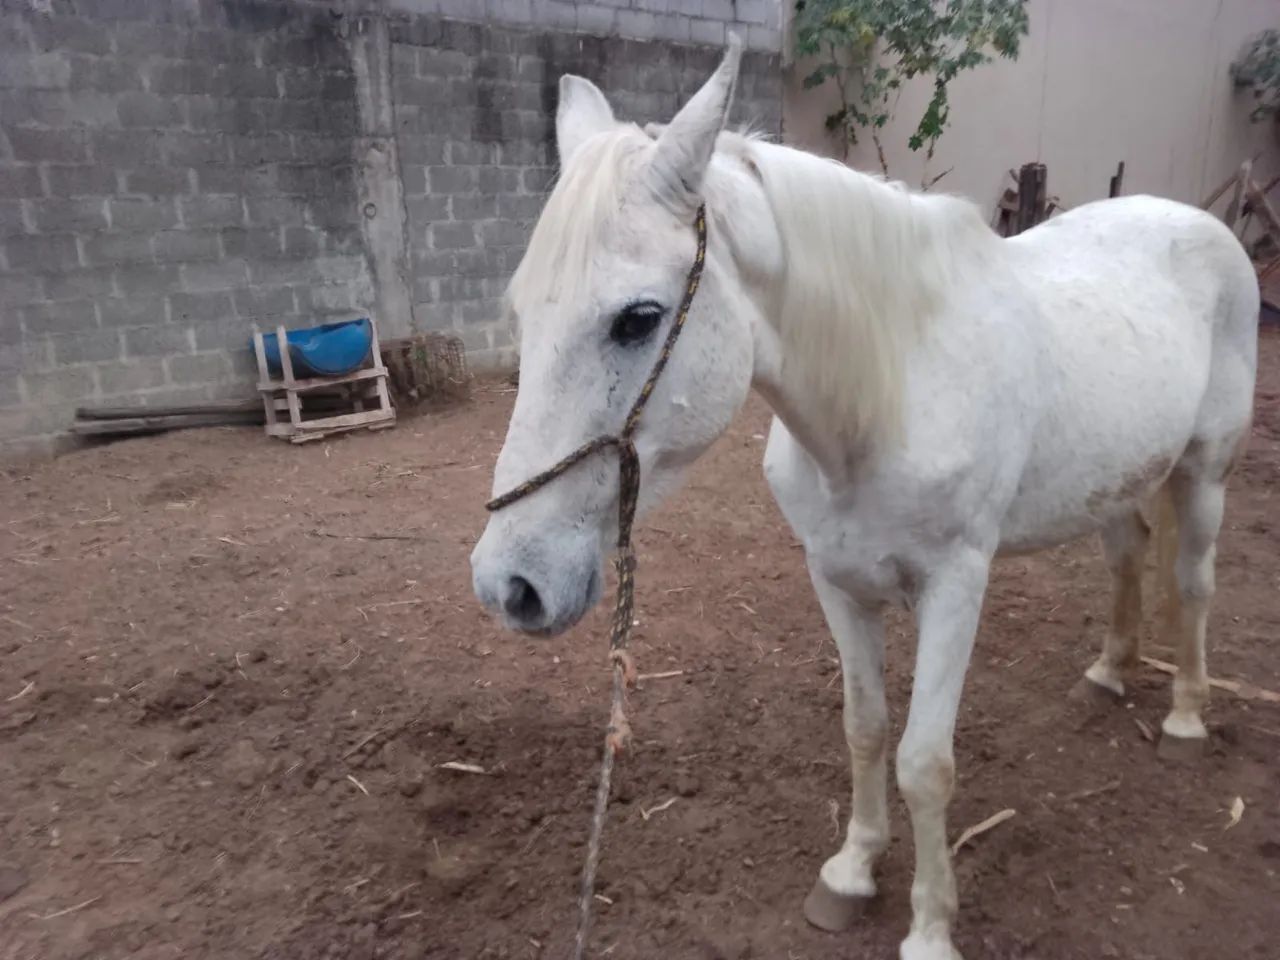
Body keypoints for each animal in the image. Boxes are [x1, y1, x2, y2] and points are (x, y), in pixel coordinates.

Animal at [469, 35, 1260, 960]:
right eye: (523, 314)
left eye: (637, 317)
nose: (509, 585)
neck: (886, 394)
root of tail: (1201, 221)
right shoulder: (838, 581)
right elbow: (866, 727)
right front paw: (851, 872)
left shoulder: (957, 585)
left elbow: (925, 760)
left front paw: (929, 927)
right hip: (1121, 478)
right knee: (1129, 553)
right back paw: (1106, 673)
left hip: (1204, 472)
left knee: (1193, 585)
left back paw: (1185, 721)